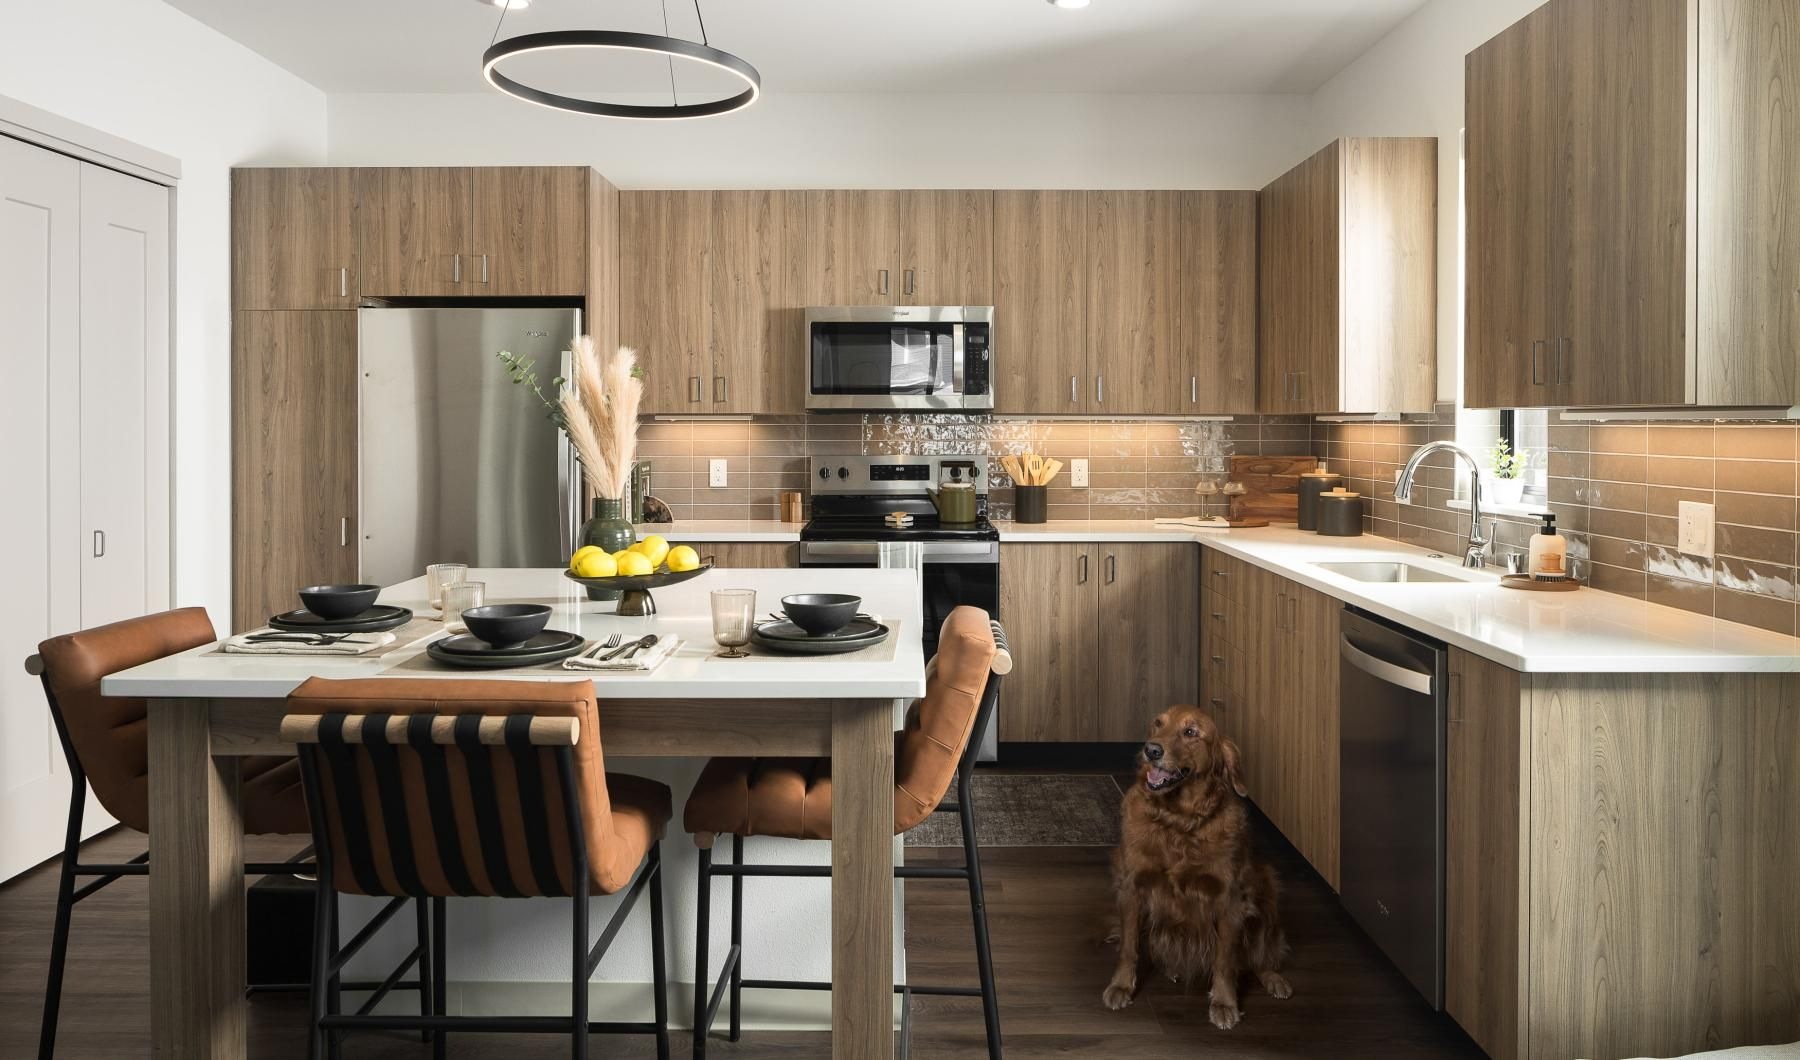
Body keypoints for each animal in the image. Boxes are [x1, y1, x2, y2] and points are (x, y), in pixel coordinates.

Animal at [1101, 701, 1288, 1022]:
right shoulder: (1131, 885)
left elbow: (1225, 960)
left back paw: (1274, 978)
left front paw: (1225, 1003)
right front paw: (1121, 986)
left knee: (1261, 953)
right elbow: (1128, 946)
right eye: (1158, 723)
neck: (1178, 821)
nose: (1151, 749)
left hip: (1266, 883)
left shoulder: (1230, 898)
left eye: (1191, 732)